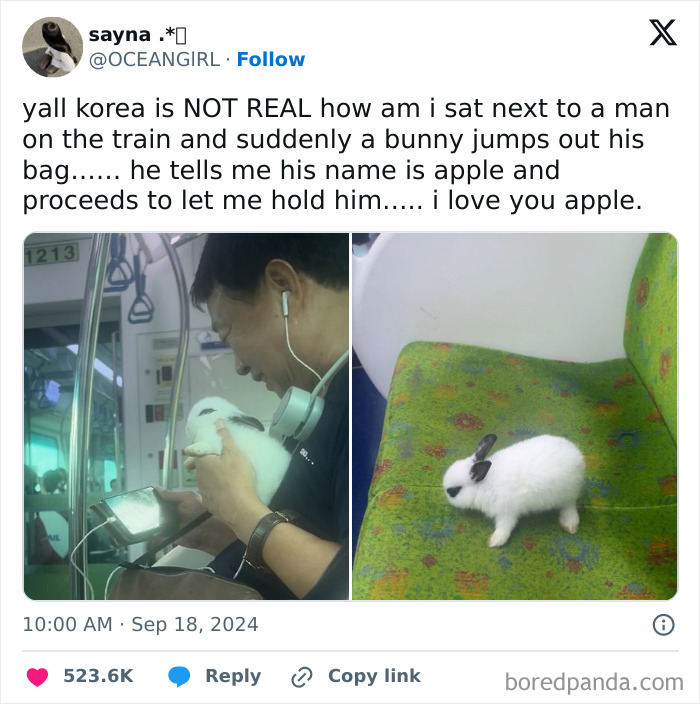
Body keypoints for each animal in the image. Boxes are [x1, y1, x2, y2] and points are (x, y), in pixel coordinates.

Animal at [442, 432, 584, 548]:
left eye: (453, 491)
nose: (446, 496)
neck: (484, 484)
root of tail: (577, 455)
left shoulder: (507, 512)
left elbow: (504, 527)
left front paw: (494, 541)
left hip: (566, 496)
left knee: (570, 509)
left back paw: (570, 525)